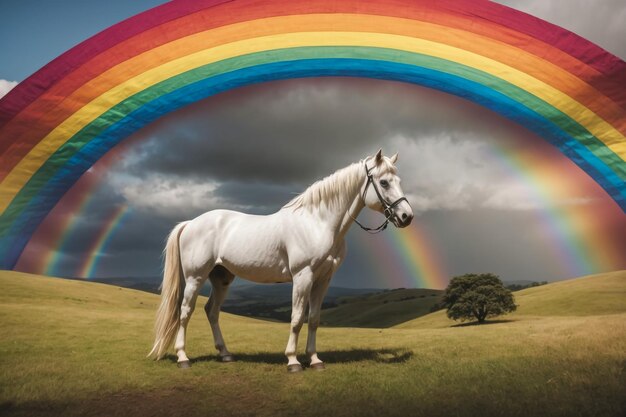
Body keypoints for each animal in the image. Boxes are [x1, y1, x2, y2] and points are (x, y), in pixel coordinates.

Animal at [148, 150, 412, 370]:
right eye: (384, 182)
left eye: (399, 181)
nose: (406, 216)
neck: (317, 223)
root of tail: (190, 223)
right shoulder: (302, 277)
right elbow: (296, 319)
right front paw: (293, 361)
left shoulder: (323, 280)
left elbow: (313, 319)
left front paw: (315, 359)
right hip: (196, 277)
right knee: (185, 311)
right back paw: (183, 357)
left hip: (221, 278)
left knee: (211, 311)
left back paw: (225, 354)